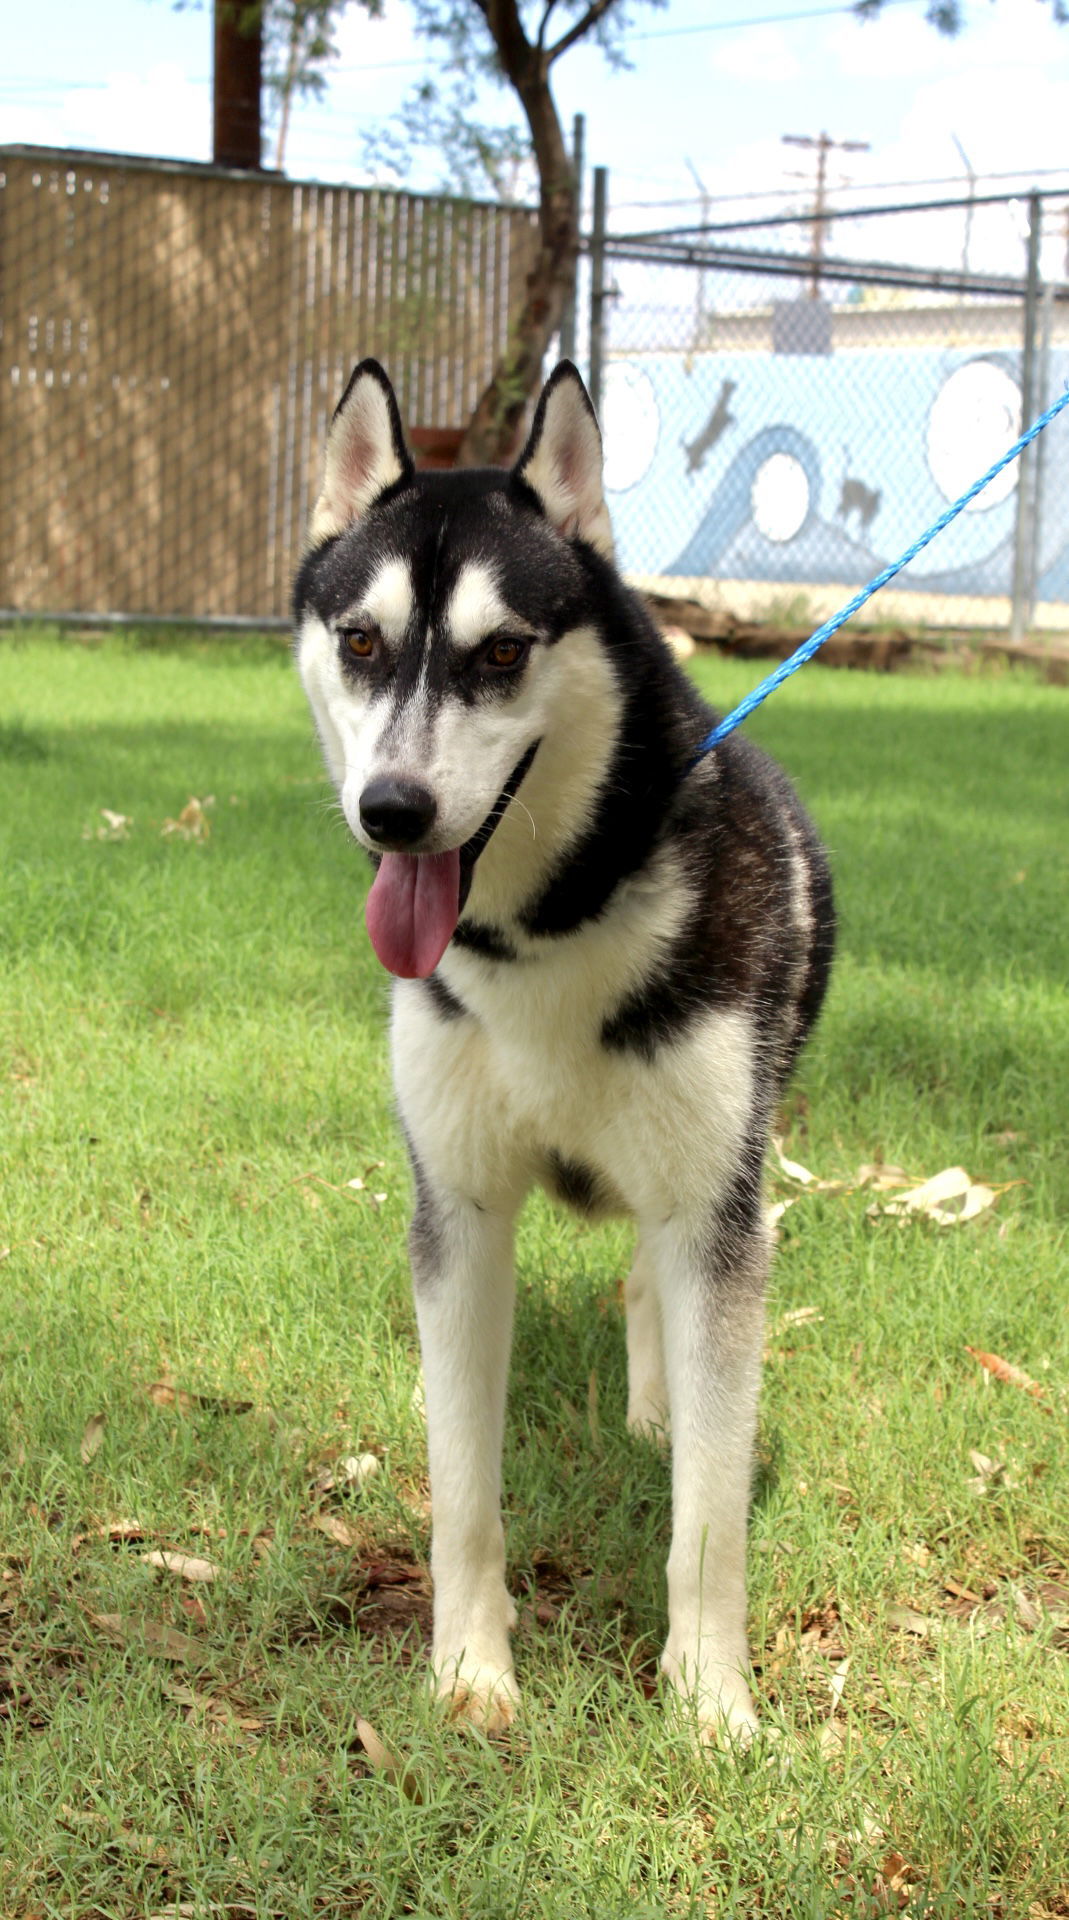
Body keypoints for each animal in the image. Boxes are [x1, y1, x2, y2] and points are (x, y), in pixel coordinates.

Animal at [291, 357, 832, 1743]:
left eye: (502, 651)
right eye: (361, 641)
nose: (392, 811)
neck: (554, 922)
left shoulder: (714, 1209)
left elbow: (710, 1522)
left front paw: (711, 1700)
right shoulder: (461, 1210)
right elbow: (462, 1491)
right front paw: (470, 1672)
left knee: (652, 1281)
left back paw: (655, 1415)